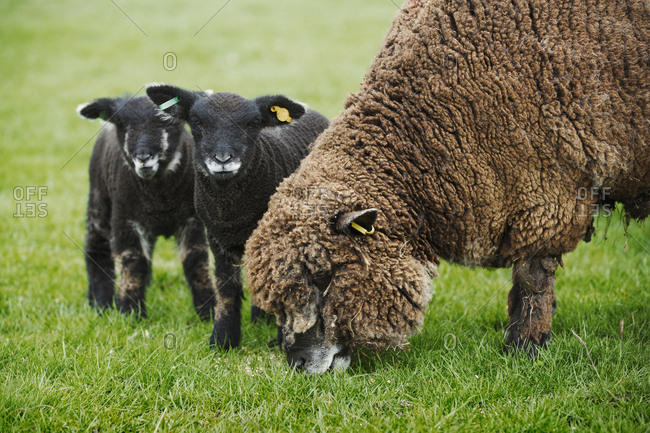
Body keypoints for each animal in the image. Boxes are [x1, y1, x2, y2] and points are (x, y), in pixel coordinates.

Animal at [78, 95, 214, 320]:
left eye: (167, 121)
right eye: (123, 124)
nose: (143, 157)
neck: (160, 199)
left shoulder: (192, 220)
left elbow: (196, 260)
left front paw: (207, 311)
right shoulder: (125, 220)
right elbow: (134, 263)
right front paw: (131, 313)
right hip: (99, 196)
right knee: (97, 245)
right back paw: (100, 302)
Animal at [145, 84, 330, 349]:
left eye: (253, 123)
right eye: (197, 121)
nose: (222, 160)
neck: (232, 213)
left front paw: (282, 340)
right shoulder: (216, 238)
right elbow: (226, 288)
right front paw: (223, 340)